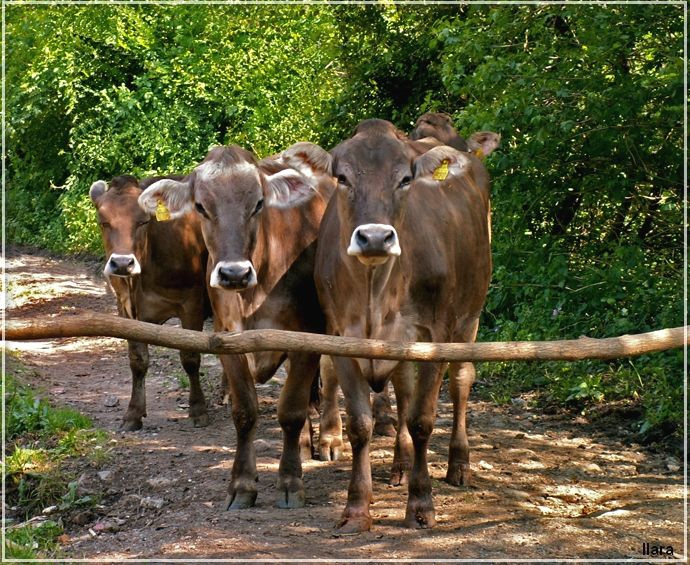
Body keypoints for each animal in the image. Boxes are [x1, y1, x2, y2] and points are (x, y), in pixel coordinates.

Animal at [89, 175, 210, 431]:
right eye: (103, 222)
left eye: (143, 221)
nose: (122, 263)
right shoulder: (125, 308)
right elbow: (137, 360)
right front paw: (133, 412)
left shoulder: (191, 304)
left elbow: (190, 358)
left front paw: (198, 409)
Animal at [138, 142, 334, 510]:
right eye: (201, 206)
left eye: (258, 204)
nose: (233, 274)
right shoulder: (228, 338)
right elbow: (245, 412)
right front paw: (242, 484)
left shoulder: (307, 336)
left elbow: (291, 410)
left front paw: (290, 482)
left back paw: (331, 441)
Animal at [314, 118, 494, 532]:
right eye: (342, 177)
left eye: (405, 179)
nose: (374, 237)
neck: (375, 293)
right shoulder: (339, 336)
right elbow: (362, 422)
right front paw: (357, 507)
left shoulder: (435, 334)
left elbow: (422, 419)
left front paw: (421, 502)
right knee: (403, 388)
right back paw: (400, 463)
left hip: (470, 316)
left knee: (461, 380)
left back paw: (459, 464)